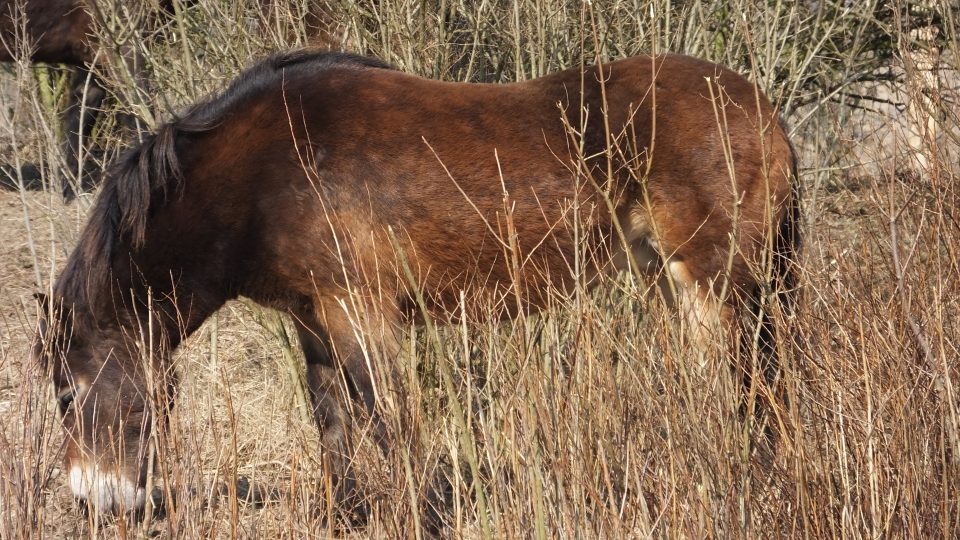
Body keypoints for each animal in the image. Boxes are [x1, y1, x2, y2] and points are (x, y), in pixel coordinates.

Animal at [31, 49, 796, 516]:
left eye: (66, 393)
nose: (92, 499)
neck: (264, 170)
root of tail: (760, 105)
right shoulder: (313, 317)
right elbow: (333, 423)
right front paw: (347, 515)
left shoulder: (359, 310)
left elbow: (390, 421)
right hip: (671, 279)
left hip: (717, 283)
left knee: (749, 383)